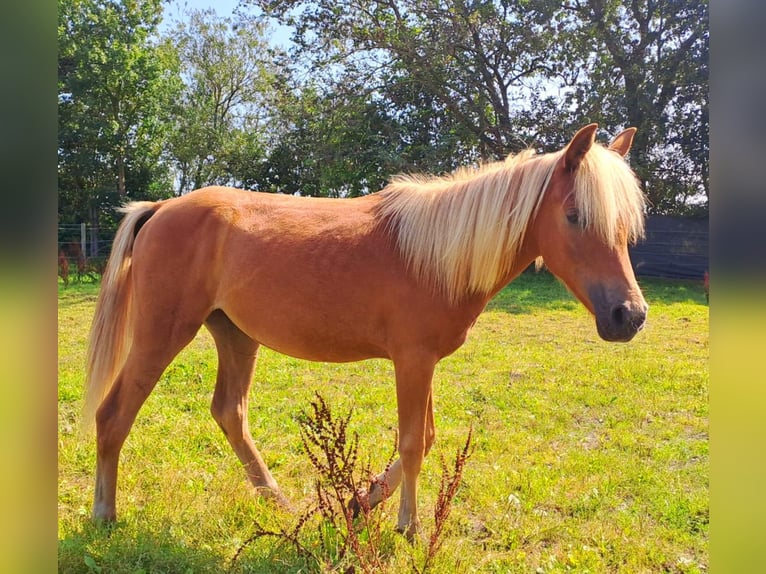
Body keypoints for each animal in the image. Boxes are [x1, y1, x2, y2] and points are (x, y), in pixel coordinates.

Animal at [82, 125, 648, 540]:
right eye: (574, 215)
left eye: (625, 224)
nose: (630, 316)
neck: (434, 254)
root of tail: (160, 208)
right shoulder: (412, 360)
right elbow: (414, 443)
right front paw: (407, 527)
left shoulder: (426, 362)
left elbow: (424, 439)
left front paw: (359, 502)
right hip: (161, 336)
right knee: (113, 415)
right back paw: (105, 514)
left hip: (236, 335)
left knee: (230, 413)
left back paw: (279, 502)